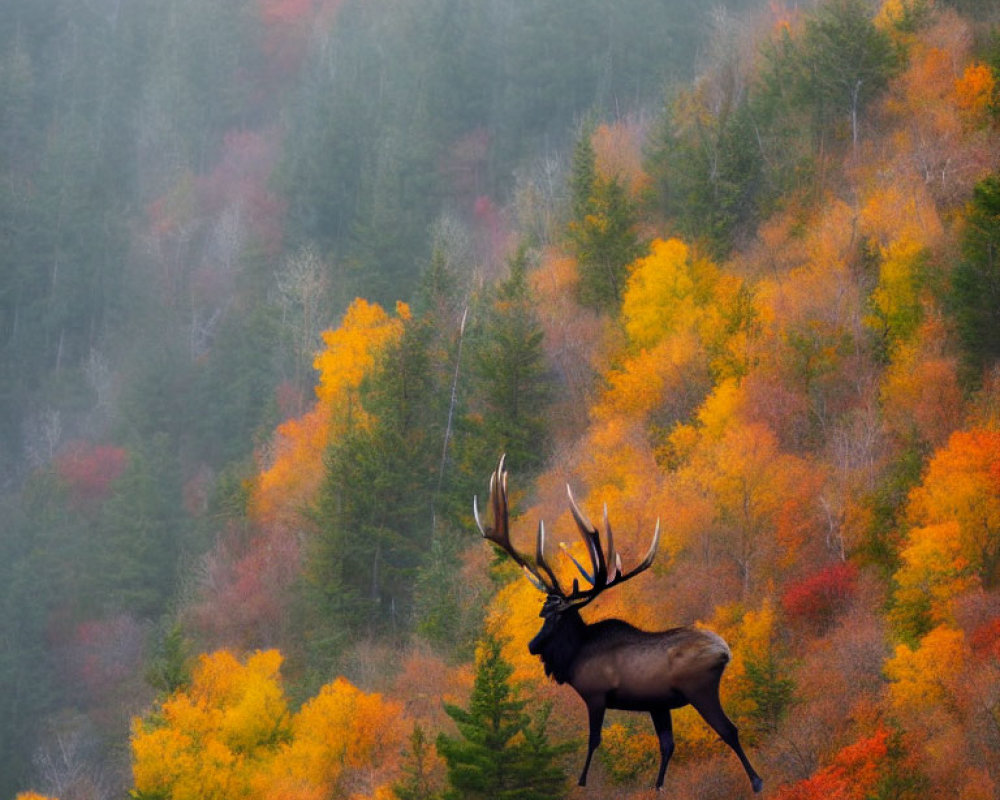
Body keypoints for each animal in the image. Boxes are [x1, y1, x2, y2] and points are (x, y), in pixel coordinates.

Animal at [476, 456, 764, 792]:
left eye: (554, 617)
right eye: (542, 614)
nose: (532, 645)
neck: (573, 658)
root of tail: (725, 652)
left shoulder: (596, 694)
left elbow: (593, 741)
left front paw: (582, 781)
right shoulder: (657, 704)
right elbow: (667, 744)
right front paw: (658, 785)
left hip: (700, 688)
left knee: (729, 730)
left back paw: (757, 780)